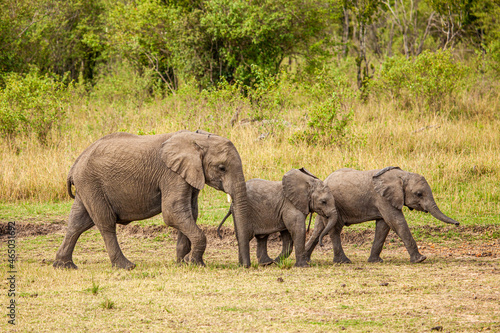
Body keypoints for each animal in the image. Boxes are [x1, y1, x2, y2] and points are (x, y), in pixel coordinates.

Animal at [53, 128, 249, 268]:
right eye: (222, 168)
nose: (244, 266)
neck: (198, 139)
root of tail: (74, 166)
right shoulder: (171, 174)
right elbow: (173, 212)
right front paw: (195, 263)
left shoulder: (188, 174)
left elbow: (189, 213)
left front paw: (182, 263)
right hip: (91, 183)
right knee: (105, 222)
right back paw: (126, 266)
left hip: (86, 186)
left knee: (78, 222)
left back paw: (64, 266)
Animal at [302, 167, 458, 264]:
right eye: (419, 194)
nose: (457, 223)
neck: (401, 175)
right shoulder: (383, 198)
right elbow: (396, 222)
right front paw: (420, 259)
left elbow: (384, 226)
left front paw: (375, 261)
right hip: (333, 203)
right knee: (334, 229)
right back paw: (343, 261)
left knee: (319, 230)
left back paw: (306, 259)